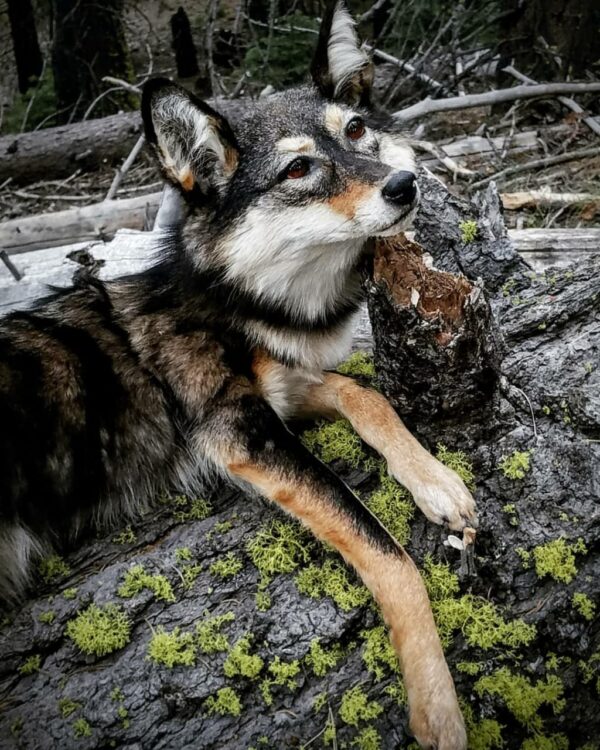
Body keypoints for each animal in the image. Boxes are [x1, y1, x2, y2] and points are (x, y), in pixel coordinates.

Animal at [0, 3, 477, 747]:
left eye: (357, 131)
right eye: (299, 169)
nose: (406, 186)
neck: (241, 295)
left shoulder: (280, 388)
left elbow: (366, 394)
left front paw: (436, 482)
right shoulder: (237, 429)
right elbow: (389, 553)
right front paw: (437, 703)